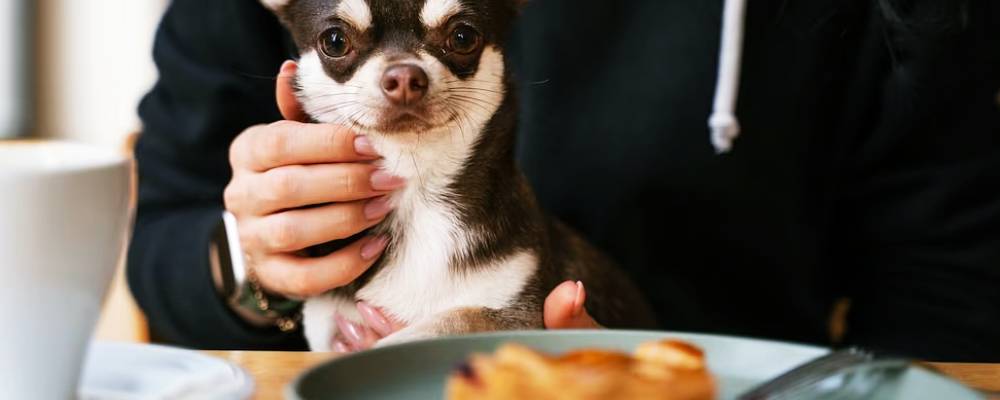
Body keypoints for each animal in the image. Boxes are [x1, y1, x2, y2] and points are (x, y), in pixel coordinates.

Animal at [262, 0, 660, 350]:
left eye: (463, 37)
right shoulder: (328, 325)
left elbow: (449, 321)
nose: (404, 76)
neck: (416, 188)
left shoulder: (521, 314)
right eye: (334, 41)